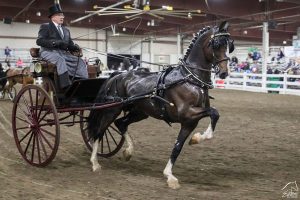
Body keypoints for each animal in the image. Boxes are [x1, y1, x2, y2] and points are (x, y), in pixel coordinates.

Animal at [86, 21, 234, 188]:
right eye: (216, 44)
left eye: (229, 45)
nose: (224, 73)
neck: (190, 79)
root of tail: (117, 75)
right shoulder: (186, 113)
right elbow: (214, 112)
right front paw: (196, 139)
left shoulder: (189, 122)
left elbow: (177, 147)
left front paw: (171, 173)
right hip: (112, 110)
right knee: (99, 131)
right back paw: (95, 163)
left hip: (140, 112)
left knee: (121, 124)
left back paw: (128, 152)